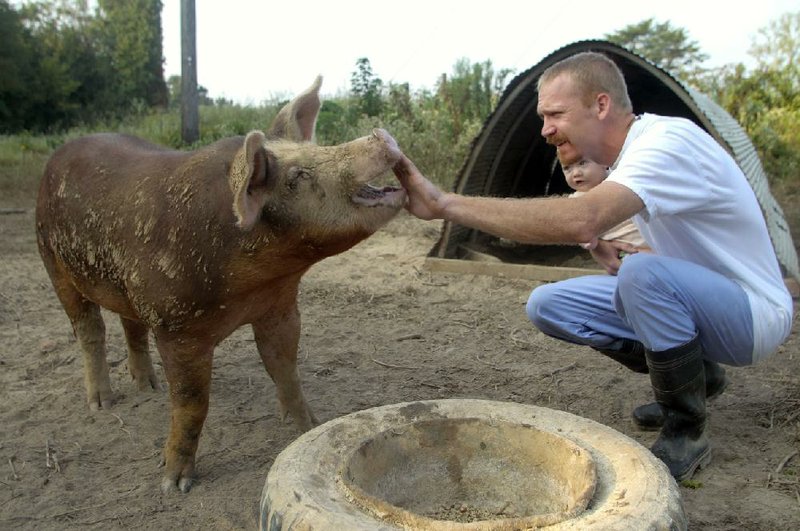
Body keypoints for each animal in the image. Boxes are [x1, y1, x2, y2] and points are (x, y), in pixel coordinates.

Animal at [33, 78, 406, 494]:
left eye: (317, 148)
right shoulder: (177, 327)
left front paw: (307, 427)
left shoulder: (280, 308)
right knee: (89, 330)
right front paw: (174, 484)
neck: (252, 286)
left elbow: (286, 369)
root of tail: (56, 156)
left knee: (131, 325)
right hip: (53, 260)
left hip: (124, 284)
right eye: (297, 176)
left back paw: (148, 388)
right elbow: (193, 403)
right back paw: (103, 403)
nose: (379, 135)